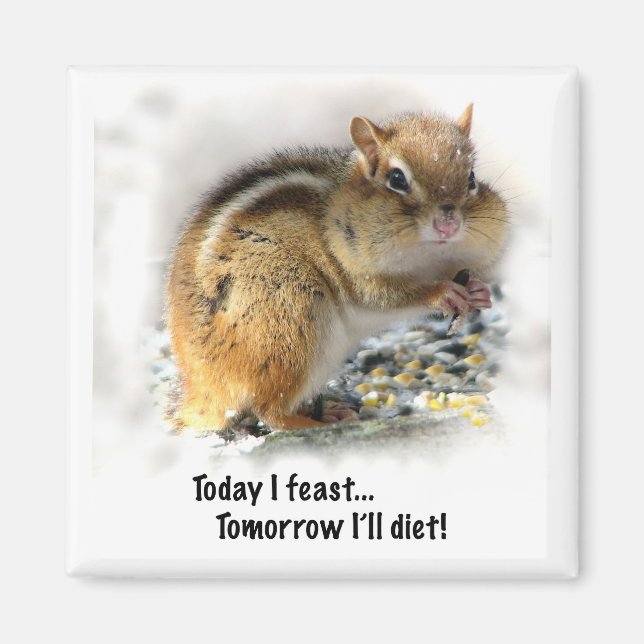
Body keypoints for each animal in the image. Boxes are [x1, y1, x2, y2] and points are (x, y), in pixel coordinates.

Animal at [165, 104, 509, 431]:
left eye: (472, 178)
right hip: (288, 313)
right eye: (397, 179)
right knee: (269, 412)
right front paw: (442, 292)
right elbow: (385, 297)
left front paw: (479, 292)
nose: (448, 225)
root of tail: (202, 389)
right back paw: (311, 422)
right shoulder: (355, 271)